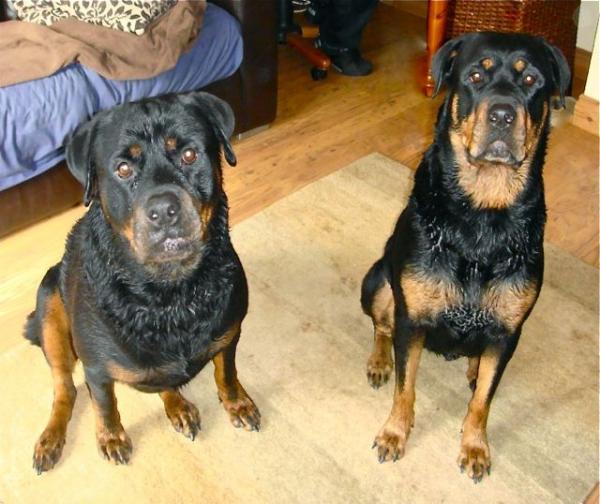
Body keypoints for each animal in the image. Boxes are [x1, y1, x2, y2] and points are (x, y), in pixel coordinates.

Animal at [25, 90, 260, 472]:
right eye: (123, 169)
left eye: (189, 154)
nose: (164, 210)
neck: (171, 295)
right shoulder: (96, 368)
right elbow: (105, 405)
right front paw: (111, 437)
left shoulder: (230, 332)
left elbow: (226, 372)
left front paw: (236, 402)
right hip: (49, 303)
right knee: (66, 388)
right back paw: (51, 438)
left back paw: (178, 406)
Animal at [360, 33, 572, 482]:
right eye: (475, 76)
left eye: (532, 79)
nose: (503, 114)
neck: (483, 214)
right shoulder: (412, 318)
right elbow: (406, 387)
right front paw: (394, 434)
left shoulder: (509, 330)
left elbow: (483, 402)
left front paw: (475, 446)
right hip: (378, 281)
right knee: (381, 326)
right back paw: (379, 361)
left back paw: (474, 366)